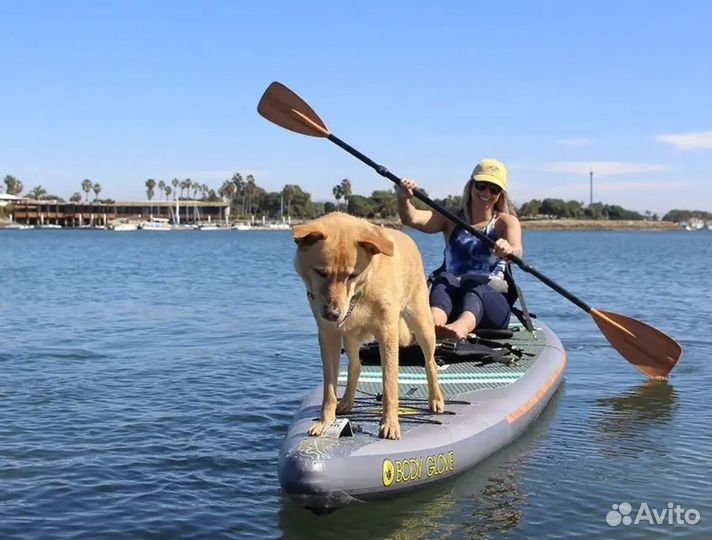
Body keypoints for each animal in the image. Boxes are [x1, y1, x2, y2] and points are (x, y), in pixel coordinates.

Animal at [292, 211, 442, 438]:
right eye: (321, 272)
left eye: (352, 275)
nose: (333, 314)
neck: (361, 293)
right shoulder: (329, 336)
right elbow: (329, 389)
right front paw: (325, 422)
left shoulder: (387, 334)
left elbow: (389, 384)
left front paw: (390, 423)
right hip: (350, 338)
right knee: (355, 366)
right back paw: (347, 401)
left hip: (422, 323)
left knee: (430, 363)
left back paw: (436, 398)